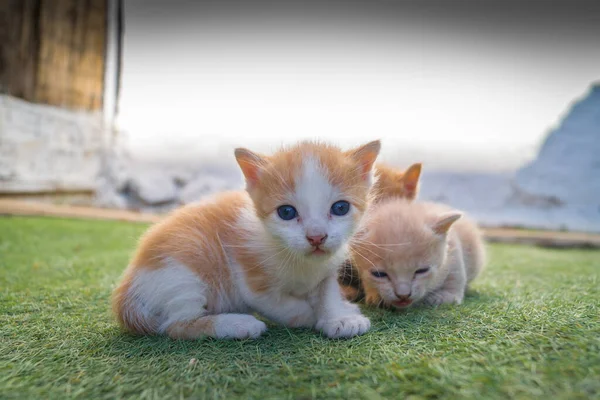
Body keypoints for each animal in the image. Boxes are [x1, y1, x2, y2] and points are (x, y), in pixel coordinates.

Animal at [112, 139, 380, 340]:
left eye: (340, 208)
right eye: (286, 212)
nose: (316, 237)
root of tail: (127, 291)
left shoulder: (326, 269)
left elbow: (327, 292)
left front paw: (339, 316)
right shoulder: (251, 279)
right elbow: (285, 307)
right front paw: (314, 316)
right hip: (183, 272)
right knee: (176, 326)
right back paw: (239, 324)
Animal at [354, 198, 486, 308]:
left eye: (422, 270)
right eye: (379, 274)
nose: (403, 295)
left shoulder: (453, 250)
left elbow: (455, 276)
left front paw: (445, 296)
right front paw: (375, 295)